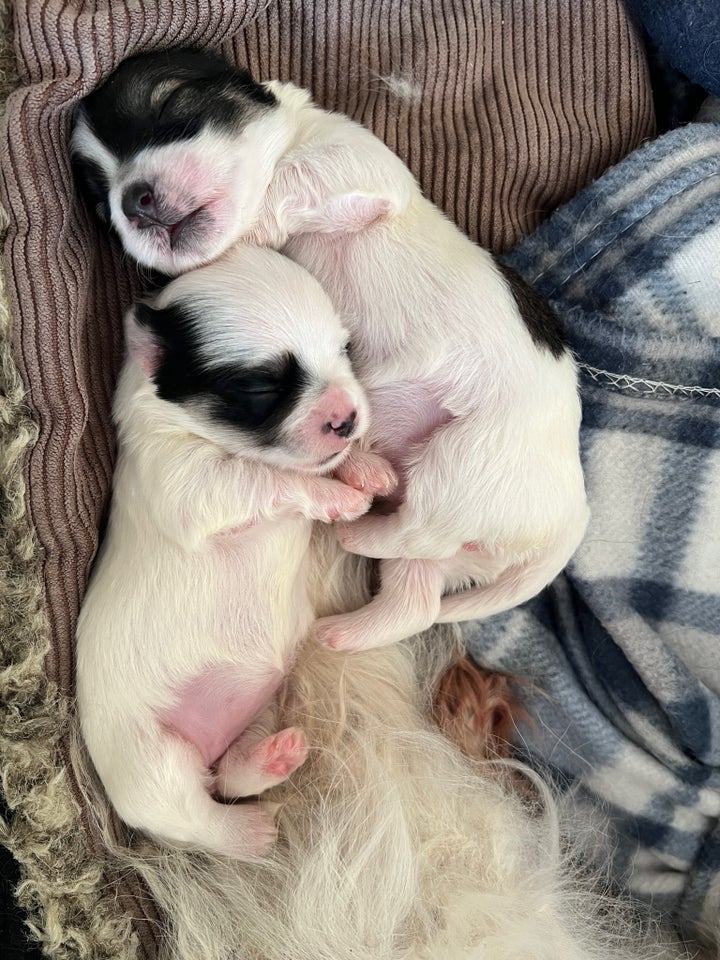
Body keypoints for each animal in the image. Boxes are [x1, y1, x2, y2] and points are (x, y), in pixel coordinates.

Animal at [73, 50, 592, 652]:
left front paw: (260, 216)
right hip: (454, 516)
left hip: (469, 459)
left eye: (171, 105)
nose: (132, 201)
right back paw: (341, 626)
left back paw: (353, 530)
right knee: (416, 591)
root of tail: (572, 520)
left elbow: (296, 176)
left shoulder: (358, 159)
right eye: (98, 200)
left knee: (419, 531)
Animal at [76, 242, 394, 864]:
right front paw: (338, 498)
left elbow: (308, 466)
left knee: (227, 775)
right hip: (150, 763)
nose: (348, 418)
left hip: (257, 707)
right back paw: (251, 834)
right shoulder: (190, 486)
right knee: (197, 812)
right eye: (260, 389)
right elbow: (266, 478)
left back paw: (271, 758)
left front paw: (366, 468)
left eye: (345, 350)